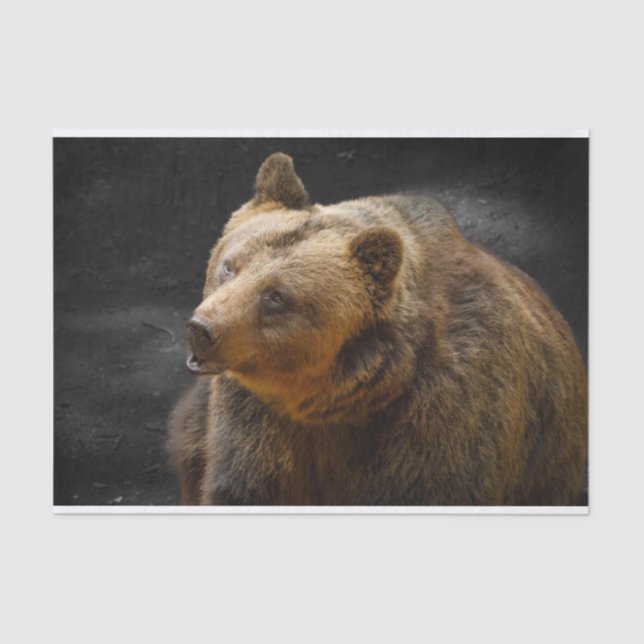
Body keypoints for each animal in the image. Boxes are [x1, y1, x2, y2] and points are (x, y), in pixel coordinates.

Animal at [167, 152, 588, 506]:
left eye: (276, 296)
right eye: (229, 266)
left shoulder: (447, 414)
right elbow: (246, 486)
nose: (202, 329)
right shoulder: (253, 422)